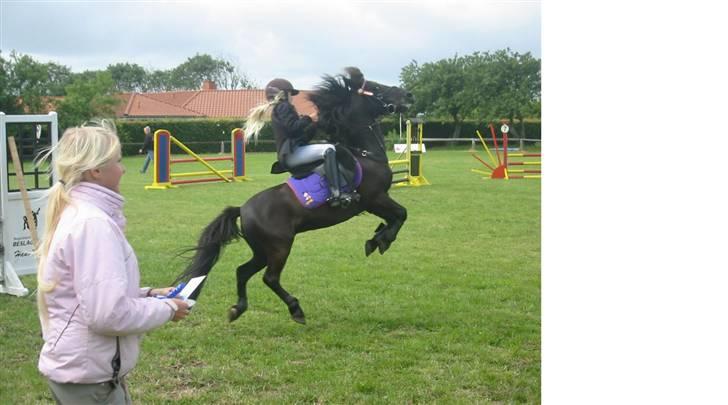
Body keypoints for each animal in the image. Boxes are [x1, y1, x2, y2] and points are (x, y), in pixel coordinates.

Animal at [176, 67, 413, 324]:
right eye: (376, 88)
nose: (408, 95)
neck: (366, 154)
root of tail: (242, 209)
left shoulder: (375, 203)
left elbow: (395, 218)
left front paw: (377, 239)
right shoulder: (376, 199)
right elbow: (402, 214)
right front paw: (381, 241)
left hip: (262, 251)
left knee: (242, 271)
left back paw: (237, 308)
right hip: (279, 247)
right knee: (269, 278)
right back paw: (295, 309)